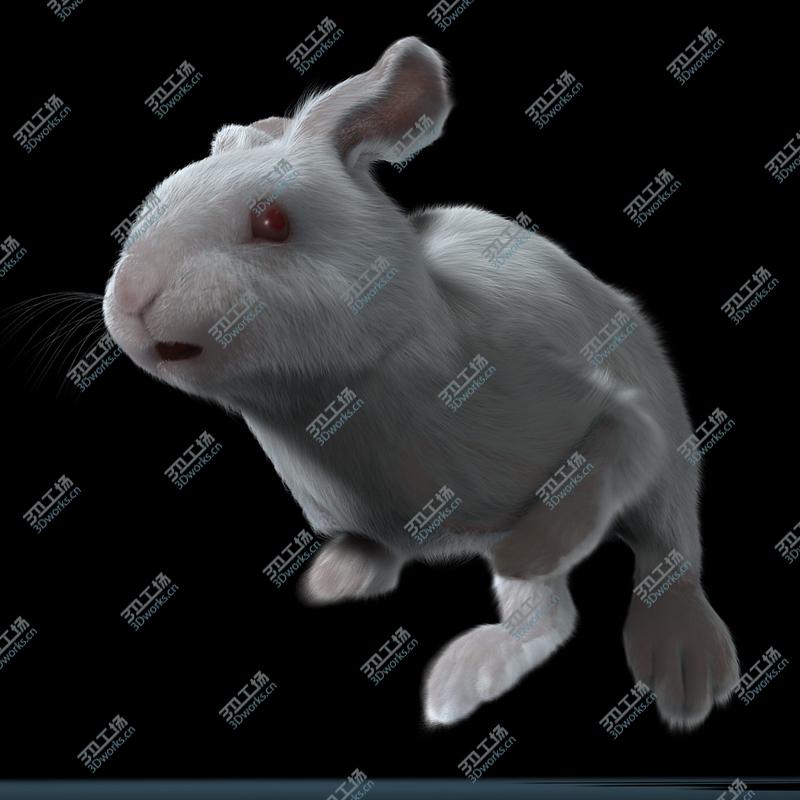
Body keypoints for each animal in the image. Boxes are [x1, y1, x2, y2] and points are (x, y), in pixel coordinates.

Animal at [103, 36, 740, 731]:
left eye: (272, 223)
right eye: (151, 209)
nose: (131, 299)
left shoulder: (607, 412)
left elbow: (615, 445)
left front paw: (534, 550)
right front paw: (338, 574)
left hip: (667, 457)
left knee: (665, 554)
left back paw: (679, 666)